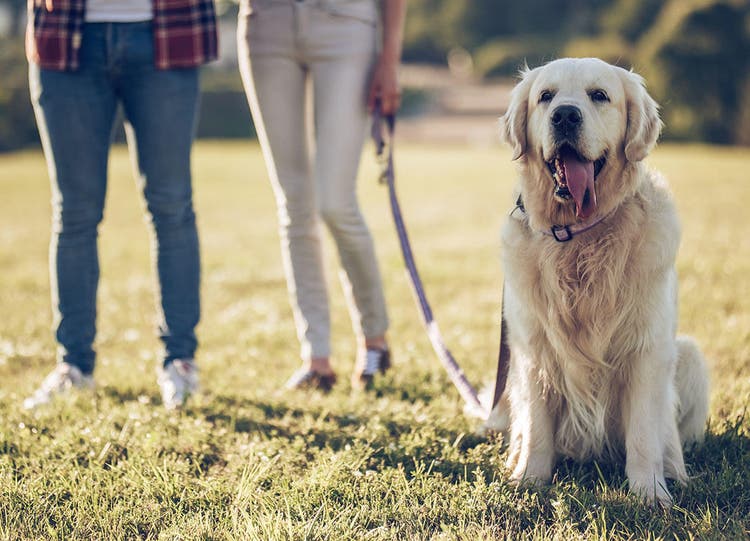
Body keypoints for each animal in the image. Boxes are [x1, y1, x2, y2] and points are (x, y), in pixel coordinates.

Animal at [488, 57, 712, 504]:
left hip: (689, 354)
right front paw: (530, 480)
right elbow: (537, 428)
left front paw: (650, 494)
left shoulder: (646, 349)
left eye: (599, 96)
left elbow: (643, 434)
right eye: (546, 96)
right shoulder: (534, 350)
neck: (578, 237)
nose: (565, 116)